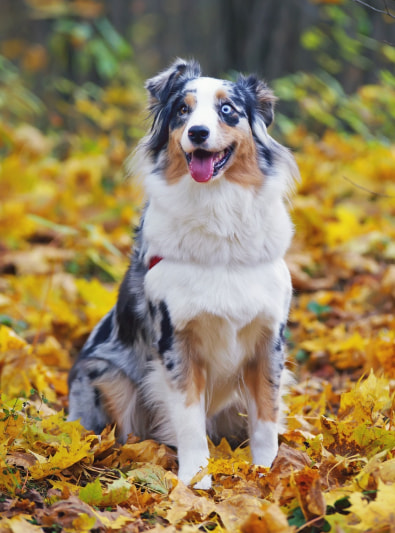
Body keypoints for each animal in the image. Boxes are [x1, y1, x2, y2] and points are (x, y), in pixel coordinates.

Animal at [68, 57, 298, 486]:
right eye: (181, 110)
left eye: (228, 109)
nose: (198, 132)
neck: (217, 212)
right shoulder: (175, 341)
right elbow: (189, 422)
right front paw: (196, 481)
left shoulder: (268, 340)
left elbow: (266, 417)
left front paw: (266, 474)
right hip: (104, 373)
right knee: (122, 436)